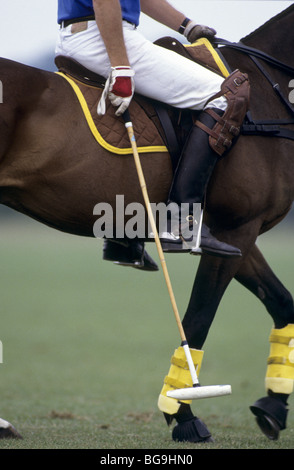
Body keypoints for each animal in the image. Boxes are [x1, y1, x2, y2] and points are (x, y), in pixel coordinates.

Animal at [0, 5, 294, 442]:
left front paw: (273, 407)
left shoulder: (237, 237)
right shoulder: (236, 229)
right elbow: (198, 319)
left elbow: (282, 303)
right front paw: (184, 414)